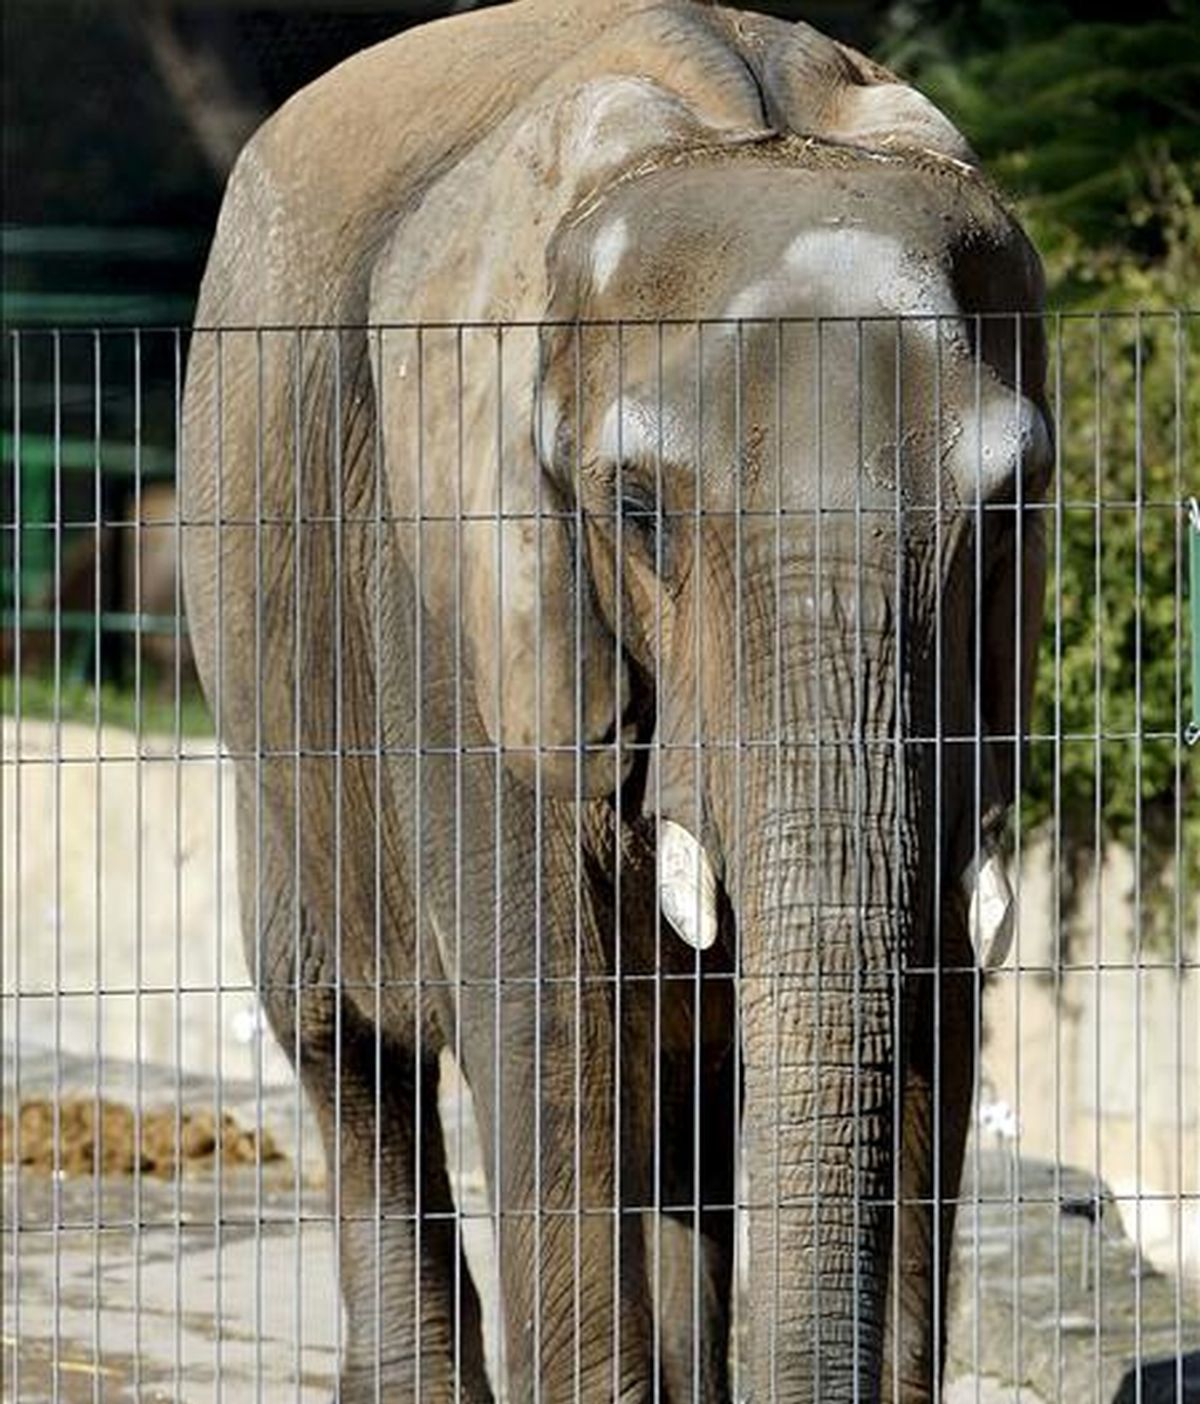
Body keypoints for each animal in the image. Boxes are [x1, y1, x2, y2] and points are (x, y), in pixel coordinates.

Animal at [181, 2, 1049, 1404]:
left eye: (1007, 514)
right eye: (637, 514)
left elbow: (939, 1013)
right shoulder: (457, 596)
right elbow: (554, 1035)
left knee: (680, 1097)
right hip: (257, 664)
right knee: (346, 1052)